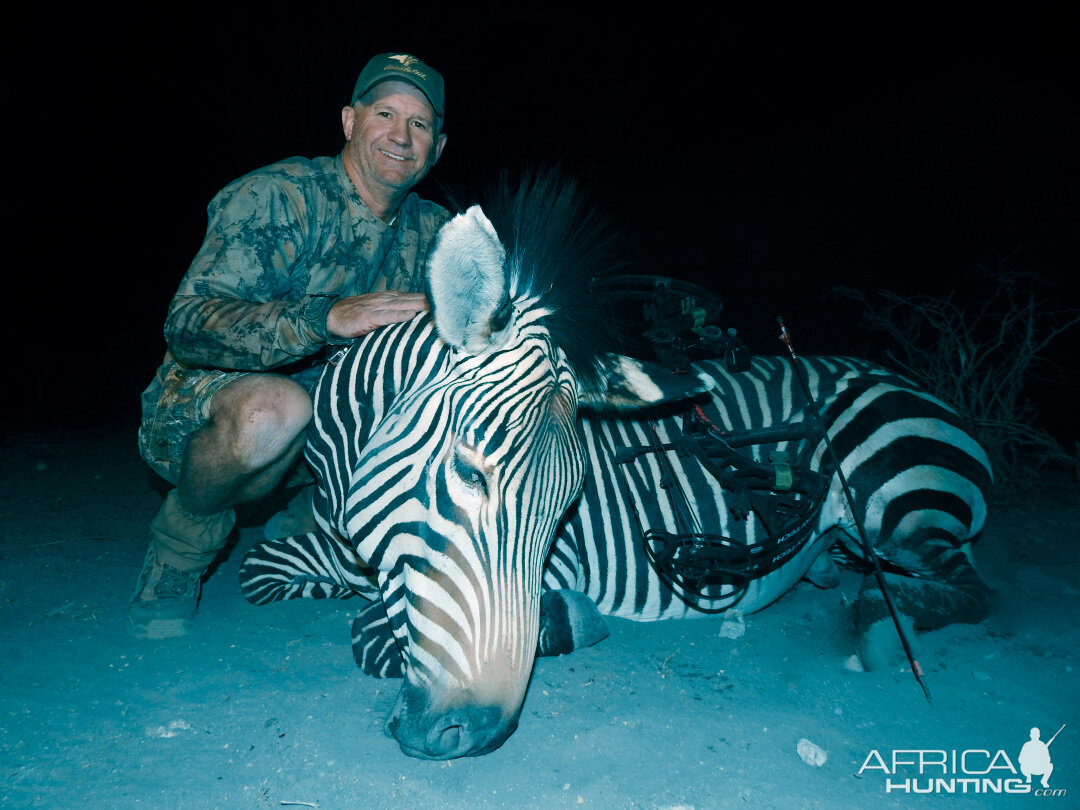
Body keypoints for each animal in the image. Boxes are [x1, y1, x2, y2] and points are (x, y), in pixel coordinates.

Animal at [238, 172, 993, 760]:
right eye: (469, 475)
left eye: (563, 509)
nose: (472, 734)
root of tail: (911, 384)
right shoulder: (328, 544)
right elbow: (261, 570)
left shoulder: (562, 564)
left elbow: (373, 634)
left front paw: (570, 621)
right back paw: (831, 576)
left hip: (896, 500)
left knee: (967, 588)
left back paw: (874, 620)